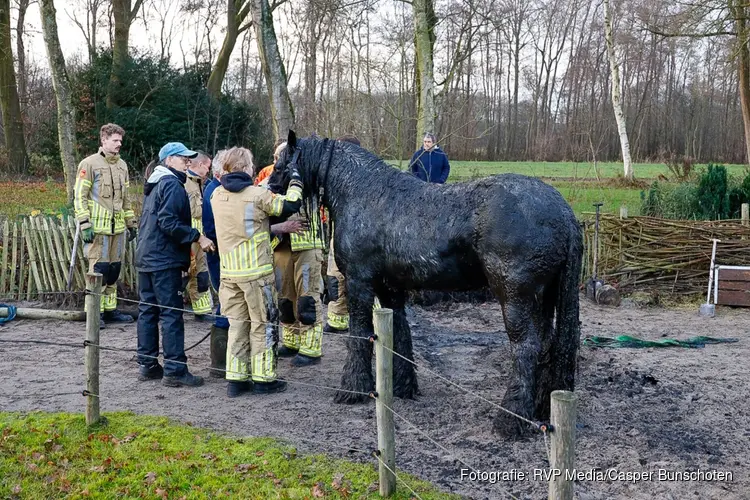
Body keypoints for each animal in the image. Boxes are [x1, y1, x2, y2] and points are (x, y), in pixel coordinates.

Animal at [268, 131, 583, 437]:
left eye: (282, 164)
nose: (269, 186)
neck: (362, 192)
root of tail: (564, 213)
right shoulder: (390, 290)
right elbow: (398, 334)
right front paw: (402, 387)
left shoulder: (360, 284)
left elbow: (360, 335)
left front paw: (353, 388)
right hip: (544, 299)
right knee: (547, 346)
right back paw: (538, 410)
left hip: (516, 299)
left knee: (526, 347)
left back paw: (510, 420)